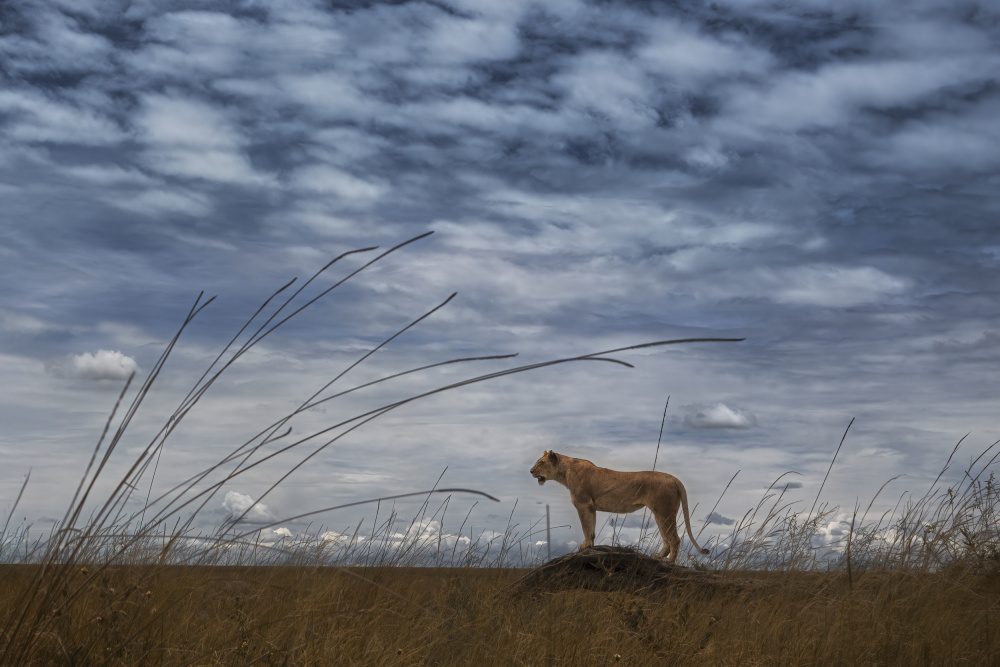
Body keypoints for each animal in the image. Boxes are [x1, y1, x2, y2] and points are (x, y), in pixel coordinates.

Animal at [530, 450, 709, 562]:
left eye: (541, 463)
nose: (531, 471)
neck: (564, 473)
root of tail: (675, 479)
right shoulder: (591, 507)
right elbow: (592, 528)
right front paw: (590, 546)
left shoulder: (583, 504)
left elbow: (586, 527)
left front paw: (584, 546)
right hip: (660, 513)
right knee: (667, 538)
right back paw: (659, 556)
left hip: (664, 512)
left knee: (675, 538)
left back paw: (669, 562)